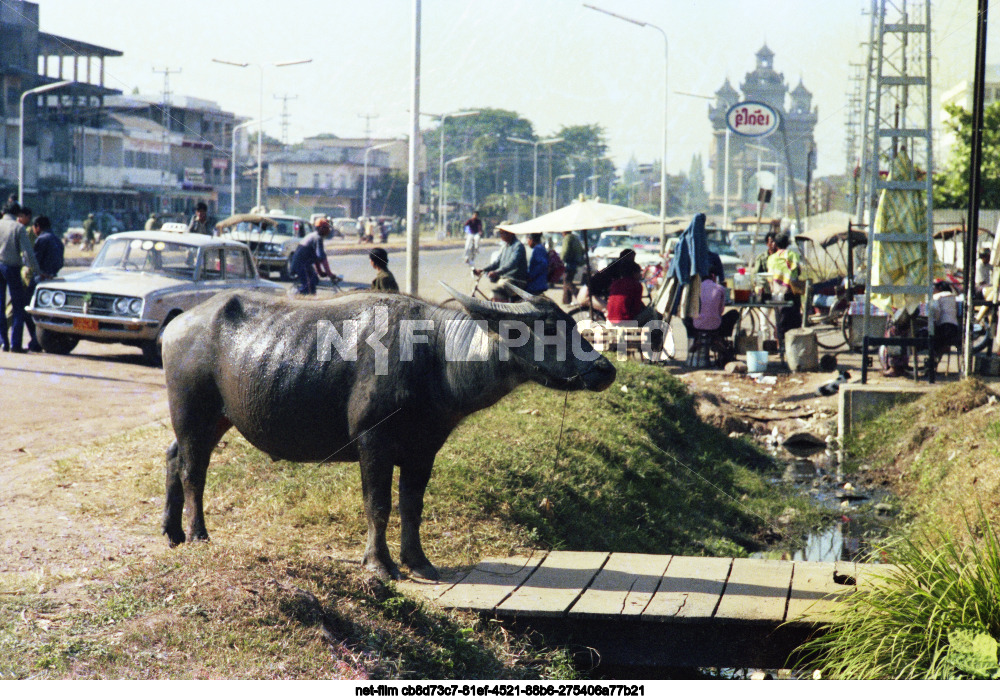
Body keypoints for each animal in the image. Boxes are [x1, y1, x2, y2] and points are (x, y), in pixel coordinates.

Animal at [162, 284, 616, 580]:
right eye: (548, 329)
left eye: (570, 324)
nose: (604, 369)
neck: (435, 357)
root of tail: (179, 321)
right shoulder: (373, 443)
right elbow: (378, 505)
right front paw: (380, 563)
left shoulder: (424, 449)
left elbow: (412, 506)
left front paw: (419, 561)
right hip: (192, 412)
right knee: (193, 470)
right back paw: (198, 534)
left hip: (215, 418)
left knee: (172, 457)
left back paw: (172, 531)